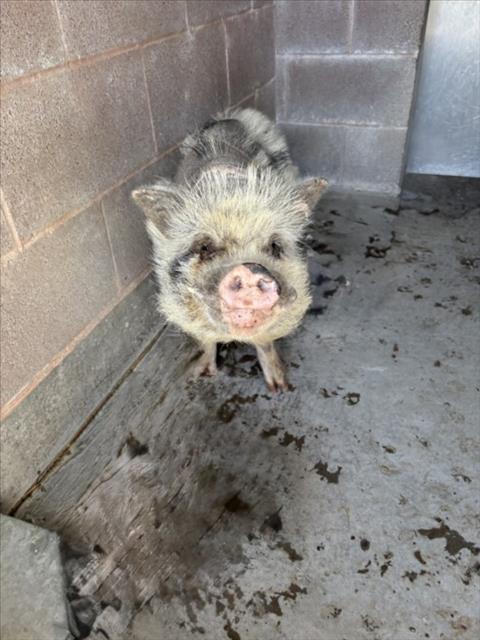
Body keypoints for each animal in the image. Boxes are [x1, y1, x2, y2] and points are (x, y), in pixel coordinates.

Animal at [132, 108, 328, 391]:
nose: (251, 270)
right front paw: (199, 375)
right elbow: (206, 340)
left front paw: (279, 386)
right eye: (204, 247)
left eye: (275, 245)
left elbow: (265, 342)